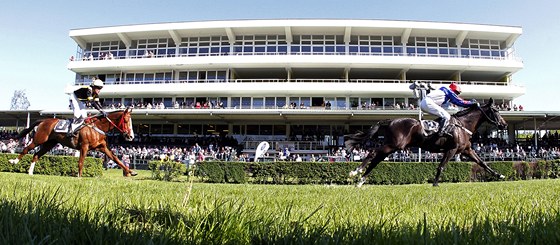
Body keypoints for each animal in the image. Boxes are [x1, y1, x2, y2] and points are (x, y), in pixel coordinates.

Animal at [9, 108, 138, 177]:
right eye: (126, 121)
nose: (131, 136)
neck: (97, 126)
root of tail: (44, 120)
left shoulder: (103, 147)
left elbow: (116, 159)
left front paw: (130, 171)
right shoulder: (84, 147)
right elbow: (81, 162)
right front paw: (79, 176)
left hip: (49, 144)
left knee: (36, 155)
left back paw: (30, 172)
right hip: (39, 139)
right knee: (26, 149)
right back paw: (14, 161)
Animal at [346, 98, 508, 187]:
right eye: (496, 110)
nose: (504, 125)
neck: (463, 125)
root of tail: (391, 120)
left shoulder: (466, 150)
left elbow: (482, 163)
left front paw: (500, 175)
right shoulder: (452, 149)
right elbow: (441, 166)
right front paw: (435, 184)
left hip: (392, 147)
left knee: (376, 159)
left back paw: (360, 181)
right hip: (394, 145)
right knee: (373, 153)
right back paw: (356, 171)